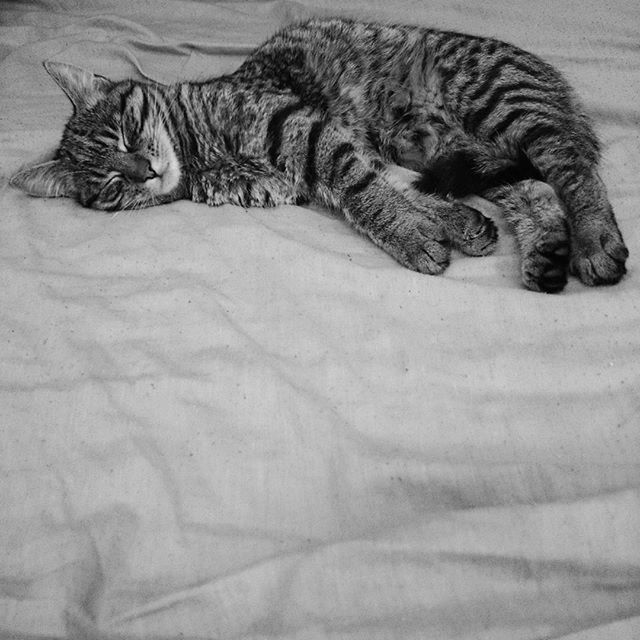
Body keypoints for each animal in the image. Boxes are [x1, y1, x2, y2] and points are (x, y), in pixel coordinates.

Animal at [11, 16, 632, 292]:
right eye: (111, 184)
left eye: (126, 131)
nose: (144, 171)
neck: (199, 155)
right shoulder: (306, 172)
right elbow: (389, 188)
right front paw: (447, 223)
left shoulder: (303, 130)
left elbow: (365, 191)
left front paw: (410, 233)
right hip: (455, 149)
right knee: (532, 188)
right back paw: (547, 251)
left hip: (498, 107)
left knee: (572, 169)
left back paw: (593, 242)